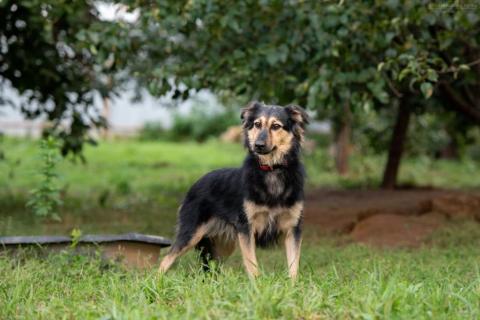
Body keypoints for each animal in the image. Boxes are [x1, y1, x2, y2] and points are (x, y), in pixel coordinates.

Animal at [159, 102, 310, 278]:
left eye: (276, 126)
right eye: (257, 124)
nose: (258, 145)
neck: (272, 169)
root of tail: (197, 183)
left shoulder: (293, 229)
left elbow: (293, 266)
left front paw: (293, 284)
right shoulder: (246, 228)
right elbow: (252, 265)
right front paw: (257, 284)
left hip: (224, 245)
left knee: (212, 269)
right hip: (191, 233)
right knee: (166, 260)